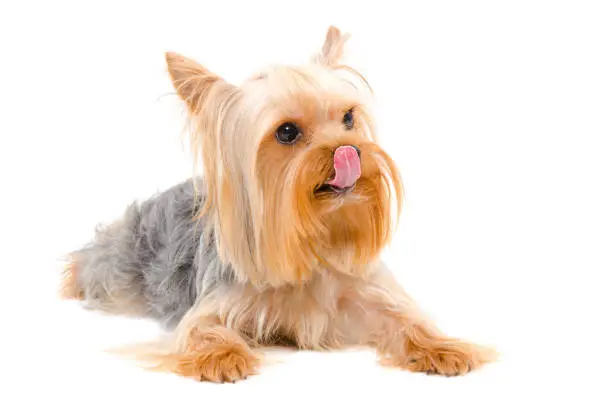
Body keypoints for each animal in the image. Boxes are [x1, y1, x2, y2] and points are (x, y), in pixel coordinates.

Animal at [59, 27, 494, 382]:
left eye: (348, 118)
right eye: (286, 132)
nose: (350, 151)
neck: (313, 237)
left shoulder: (365, 293)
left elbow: (405, 318)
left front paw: (442, 348)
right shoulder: (213, 305)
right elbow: (201, 330)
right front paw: (221, 356)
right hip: (119, 264)